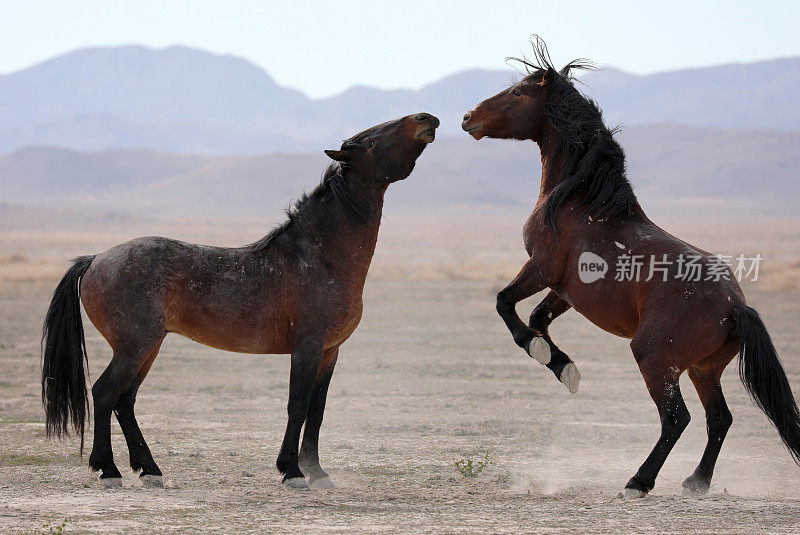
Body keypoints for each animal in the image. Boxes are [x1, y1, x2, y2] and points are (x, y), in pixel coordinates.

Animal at [40, 112, 440, 490]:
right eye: (370, 142)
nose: (425, 119)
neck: (319, 255)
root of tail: (95, 259)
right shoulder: (307, 347)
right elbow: (297, 406)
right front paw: (292, 472)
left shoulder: (330, 351)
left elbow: (317, 410)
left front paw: (317, 472)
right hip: (134, 346)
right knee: (105, 393)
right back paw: (108, 470)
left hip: (148, 346)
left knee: (124, 401)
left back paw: (149, 470)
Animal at [460, 39, 800, 500]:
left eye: (516, 93)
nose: (468, 118)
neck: (580, 201)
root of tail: (735, 306)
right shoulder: (566, 290)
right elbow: (537, 317)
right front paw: (563, 367)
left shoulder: (541, 268)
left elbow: (506, 305)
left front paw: (541, 352)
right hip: (703, 369)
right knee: (719, 419)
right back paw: (696, 481)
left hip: (654, 359)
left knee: (677, 419)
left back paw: (639, 482)